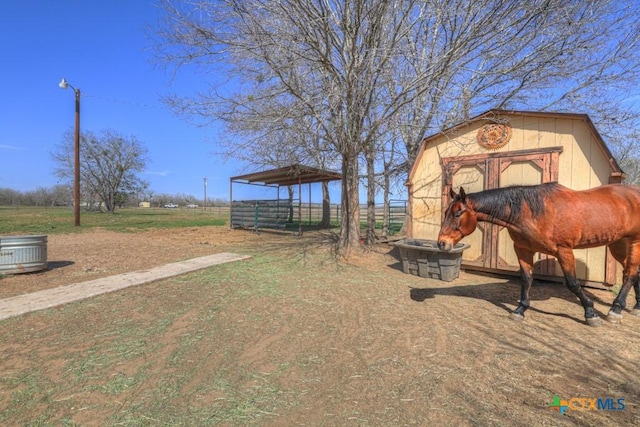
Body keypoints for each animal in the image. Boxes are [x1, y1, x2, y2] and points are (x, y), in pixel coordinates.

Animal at [438, 183, 640, 328]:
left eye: (458, 213)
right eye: (446, 212)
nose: (442, 243)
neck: (532, 212)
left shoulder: (564, 251)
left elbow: (573, 283)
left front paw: (590, 313)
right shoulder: (523, 250)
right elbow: (526, 279)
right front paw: (520, 310)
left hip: (634, 242)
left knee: (630, 274)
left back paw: (615, 310)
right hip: (618, 244)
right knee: (634, 273)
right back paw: (636, 307)